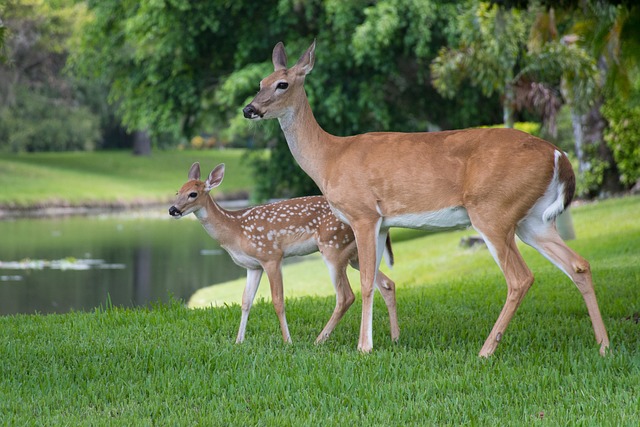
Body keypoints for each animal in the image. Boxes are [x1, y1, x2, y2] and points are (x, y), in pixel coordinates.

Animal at [170, 162, 400, 346]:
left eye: (193, 194)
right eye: (177, 192)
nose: (172, 210)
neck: (235, 230)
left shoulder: (271, 255)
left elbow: (278, 301)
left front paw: (287, 341)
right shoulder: (252, 266)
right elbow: (246, 302)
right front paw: (238, 341)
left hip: (332, 247)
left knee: (346, 295)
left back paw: (319, 340)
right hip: (353, 255)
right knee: (386, 283)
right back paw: (395, 337)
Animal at [241, 41, 608, 358]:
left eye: (282, 84)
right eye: (260, 82)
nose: (249, 109)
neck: (329, 157)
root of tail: (559, 155)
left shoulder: (363, 214)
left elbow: (366, 281)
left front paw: (364, 347)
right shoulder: (381, 222)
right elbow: (380, 281)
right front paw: (385, 340)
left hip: (493, 211)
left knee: (520, 278)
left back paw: (486, 350)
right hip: (532, 219)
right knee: (578, 264)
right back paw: (604, 345)